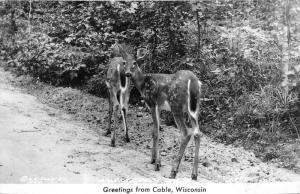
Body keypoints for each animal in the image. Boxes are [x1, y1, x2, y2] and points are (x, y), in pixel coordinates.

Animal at [123, 48, 203, 180]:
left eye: (134, 62)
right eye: (124, 63)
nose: (128, 73)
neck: (143, 84)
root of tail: (193, 81)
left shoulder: (152, 102)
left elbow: (156, 132)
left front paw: (157, 164)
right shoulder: (160, 107)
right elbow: (156, 130)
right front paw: (154, 159)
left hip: (176, 106)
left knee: (186, 133)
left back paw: (173, 171)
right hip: (194, 108)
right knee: (197, 133)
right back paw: (194, 174)